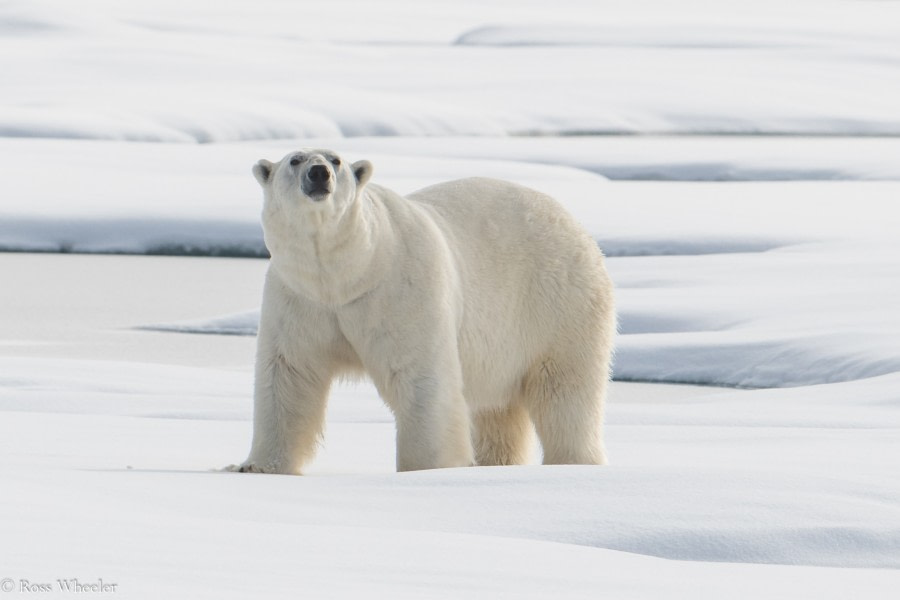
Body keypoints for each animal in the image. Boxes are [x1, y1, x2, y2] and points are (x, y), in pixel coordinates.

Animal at [229, 149, 616, 474]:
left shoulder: (400, 291)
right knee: (496, 410)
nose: (319, 173)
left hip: (559, 304)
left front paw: (428, 467)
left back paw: (573, 461)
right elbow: (289, 374)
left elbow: (420, 378)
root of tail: (574, 224)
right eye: (295, 160)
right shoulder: (299, 299)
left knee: (566, 392)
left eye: (336, 160)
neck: (352, 272)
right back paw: (495, 463)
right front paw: (256, 466)